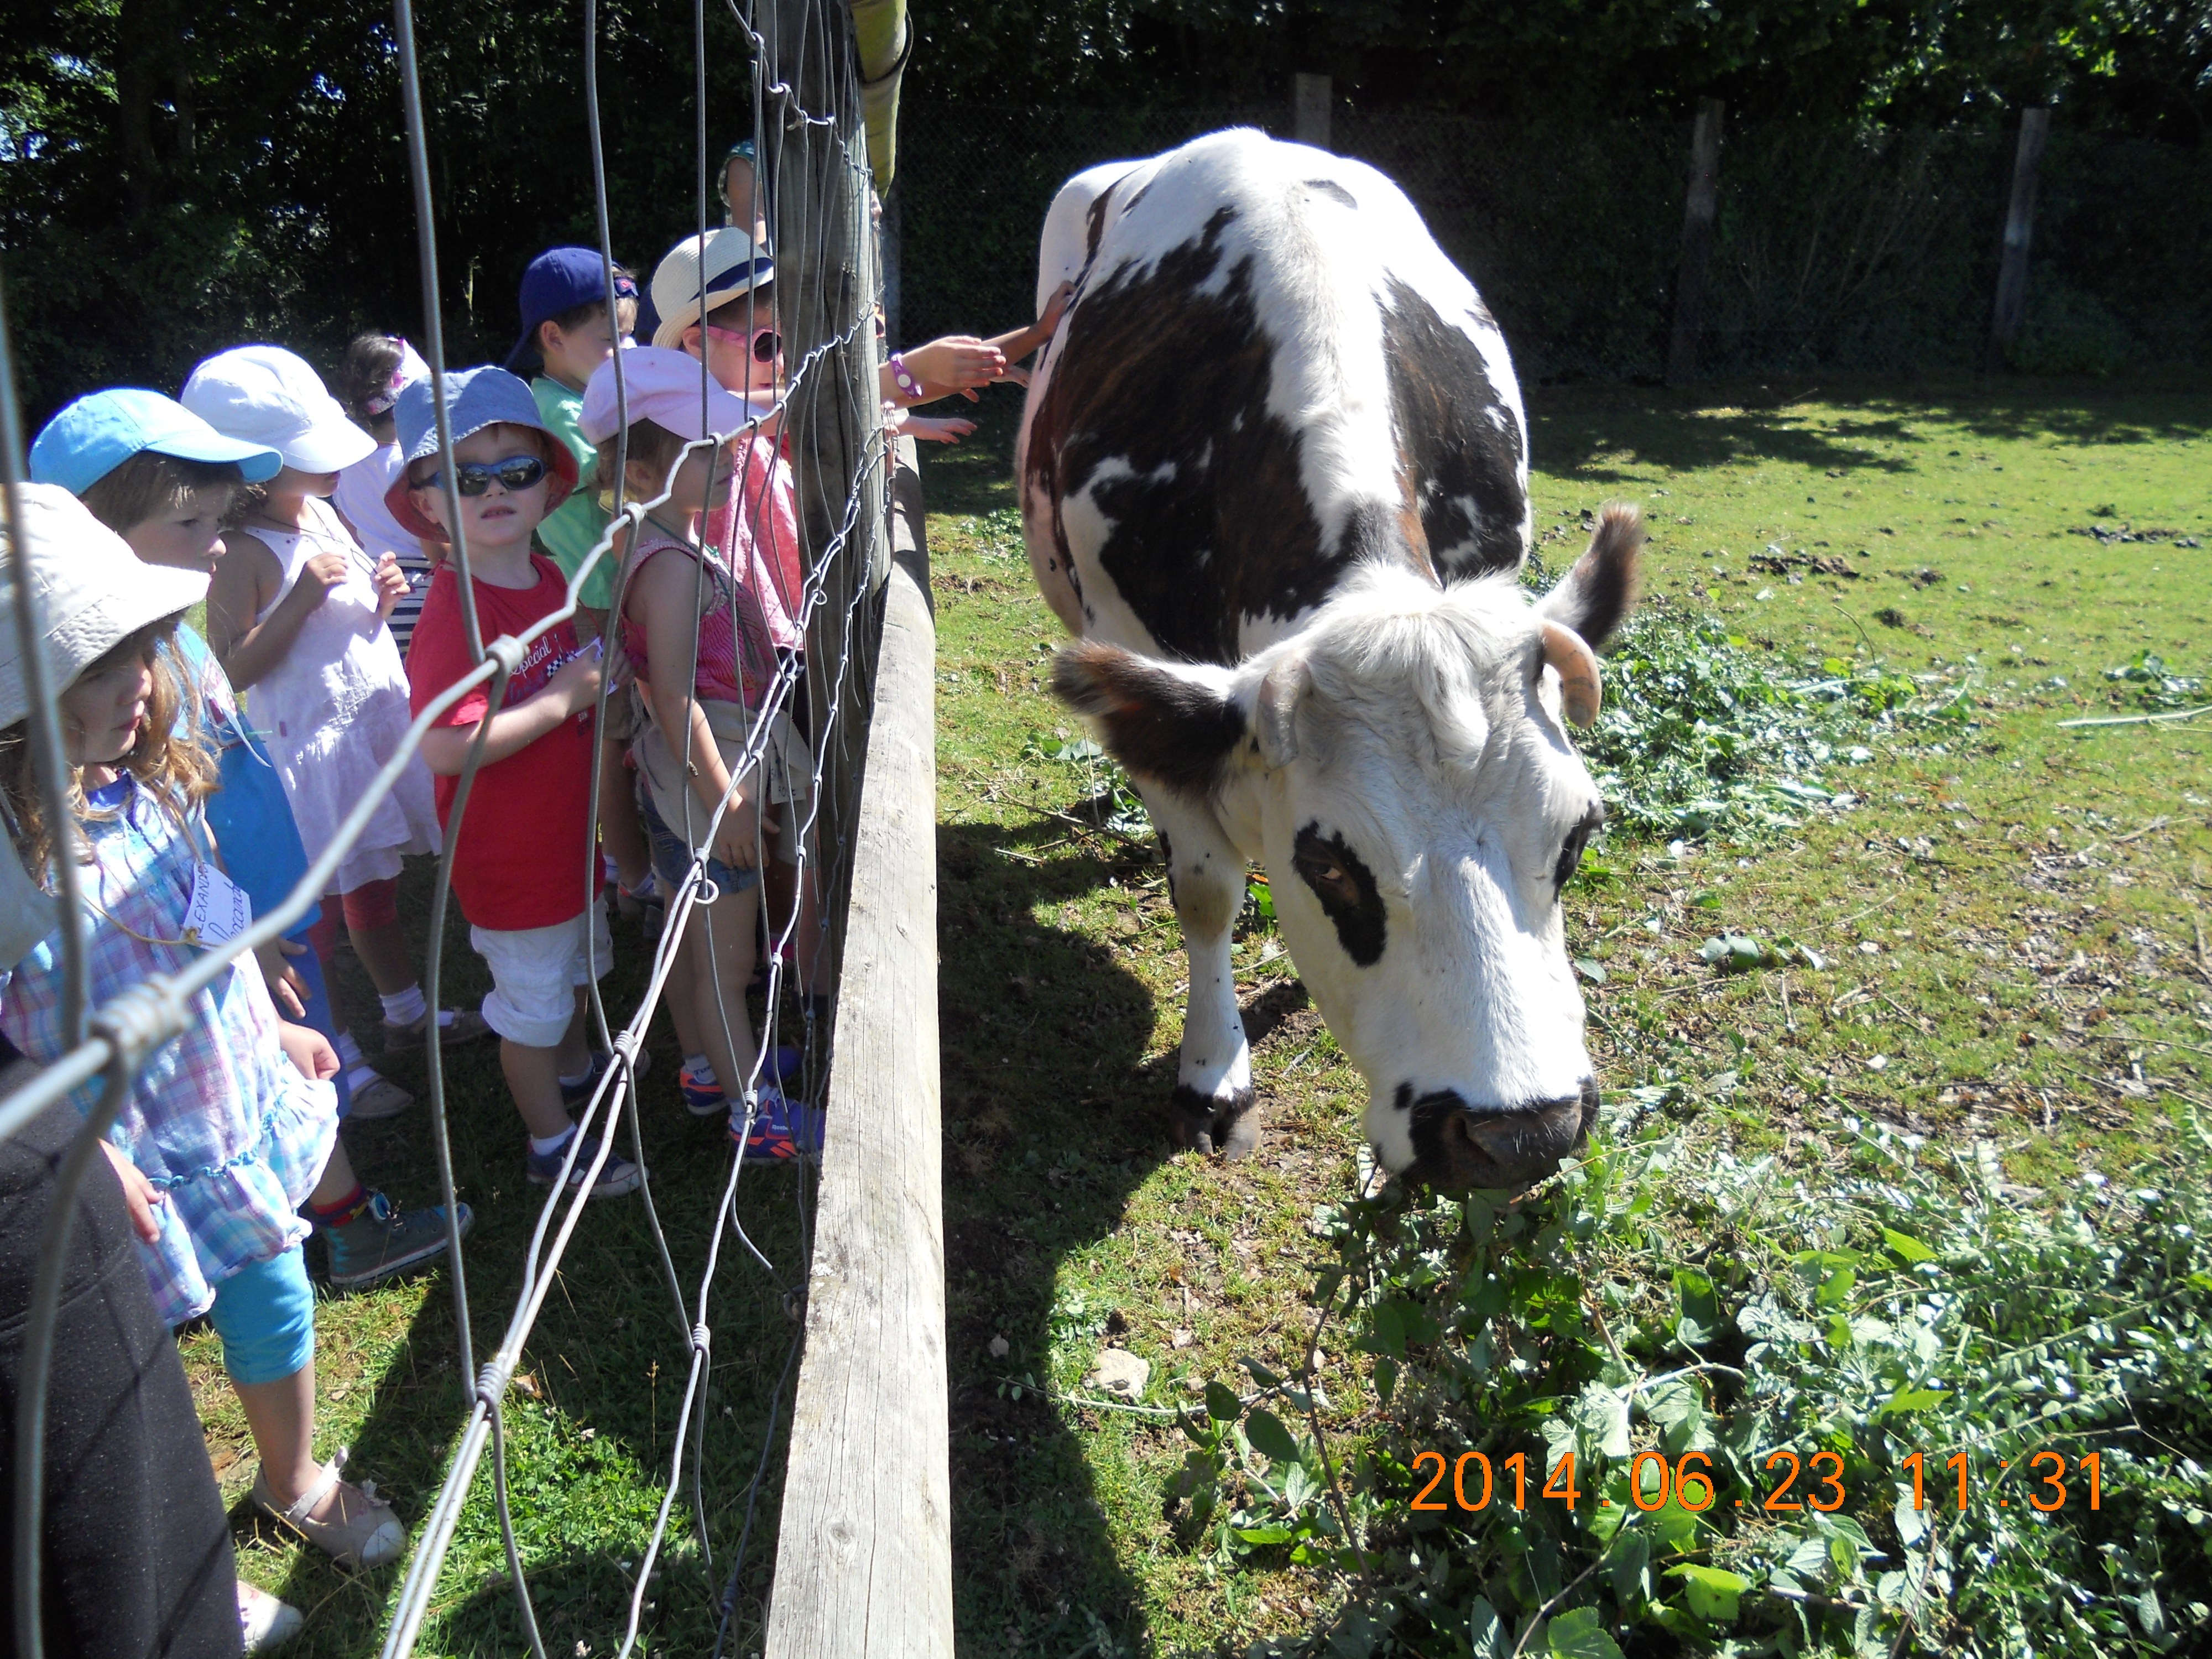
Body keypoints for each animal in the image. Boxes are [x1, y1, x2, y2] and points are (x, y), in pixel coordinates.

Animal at [1013, 130, 1637, 1194]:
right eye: (1330, 866)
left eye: (1578, 836)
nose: (1522, 1136)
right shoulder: (1137, 649)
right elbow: (1207, 890)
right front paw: (1214, 1074)